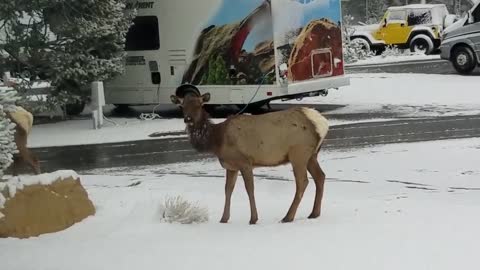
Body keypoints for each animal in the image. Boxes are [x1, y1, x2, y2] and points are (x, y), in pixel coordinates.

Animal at [171, 84, 328, 224]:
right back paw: (314, 213)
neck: (218, 140)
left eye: (199, 105)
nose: (188, 119)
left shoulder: (245, 162)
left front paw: (253, 219)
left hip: (298, 153)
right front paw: (223, 219)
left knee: (302, 181)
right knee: (320, 176)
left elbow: (249, 189)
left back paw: (288, 217)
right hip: (311, 155)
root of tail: (322, 123)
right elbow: (228, 190)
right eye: (182, 106)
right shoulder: (231, 166)